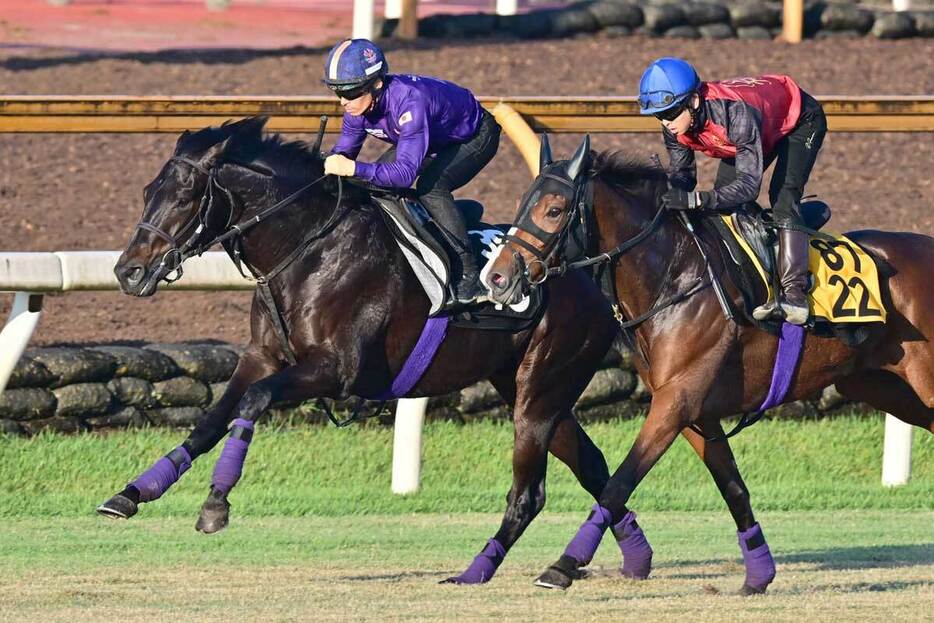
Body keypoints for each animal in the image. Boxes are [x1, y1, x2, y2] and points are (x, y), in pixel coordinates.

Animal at [95, 117, 624, 584]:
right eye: (148, 192)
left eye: (185, 197)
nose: (128, 272)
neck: (309, 249)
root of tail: (587, 275)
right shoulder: (261, 356)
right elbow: (209, 421)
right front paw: (132, 493)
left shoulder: (335, 371)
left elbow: (252, 401)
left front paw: (215, 503)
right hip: (530, 392)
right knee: (595, 467)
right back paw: (616, 559)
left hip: (540, 391)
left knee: (537, 490)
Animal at [482, 136, 934, 596]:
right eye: (523, 203)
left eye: (554, 210)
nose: (496, 277)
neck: (675, 276)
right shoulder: (695, 411)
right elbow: (733, 487)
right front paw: (758, 575)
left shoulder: (676, 400)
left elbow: (620, 481)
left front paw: (563, 565)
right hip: (887, 389)